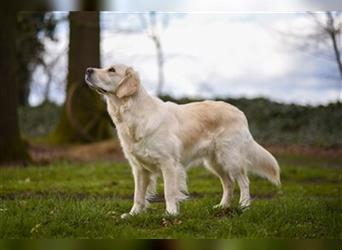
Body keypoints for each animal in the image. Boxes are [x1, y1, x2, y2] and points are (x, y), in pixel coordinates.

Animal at [84, 63, 280, 218]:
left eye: (111, 70)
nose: (87, 70)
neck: (132, 114)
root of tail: (240, 113)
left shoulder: (169, 163)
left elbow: (169, 191)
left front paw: (170, 213)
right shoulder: (138, 168)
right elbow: (138, 195)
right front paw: (133, 214)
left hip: (230, 157)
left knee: (244, 181)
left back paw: (244, 206)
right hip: (214, 162)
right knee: (229, 183)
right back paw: (222, 206)